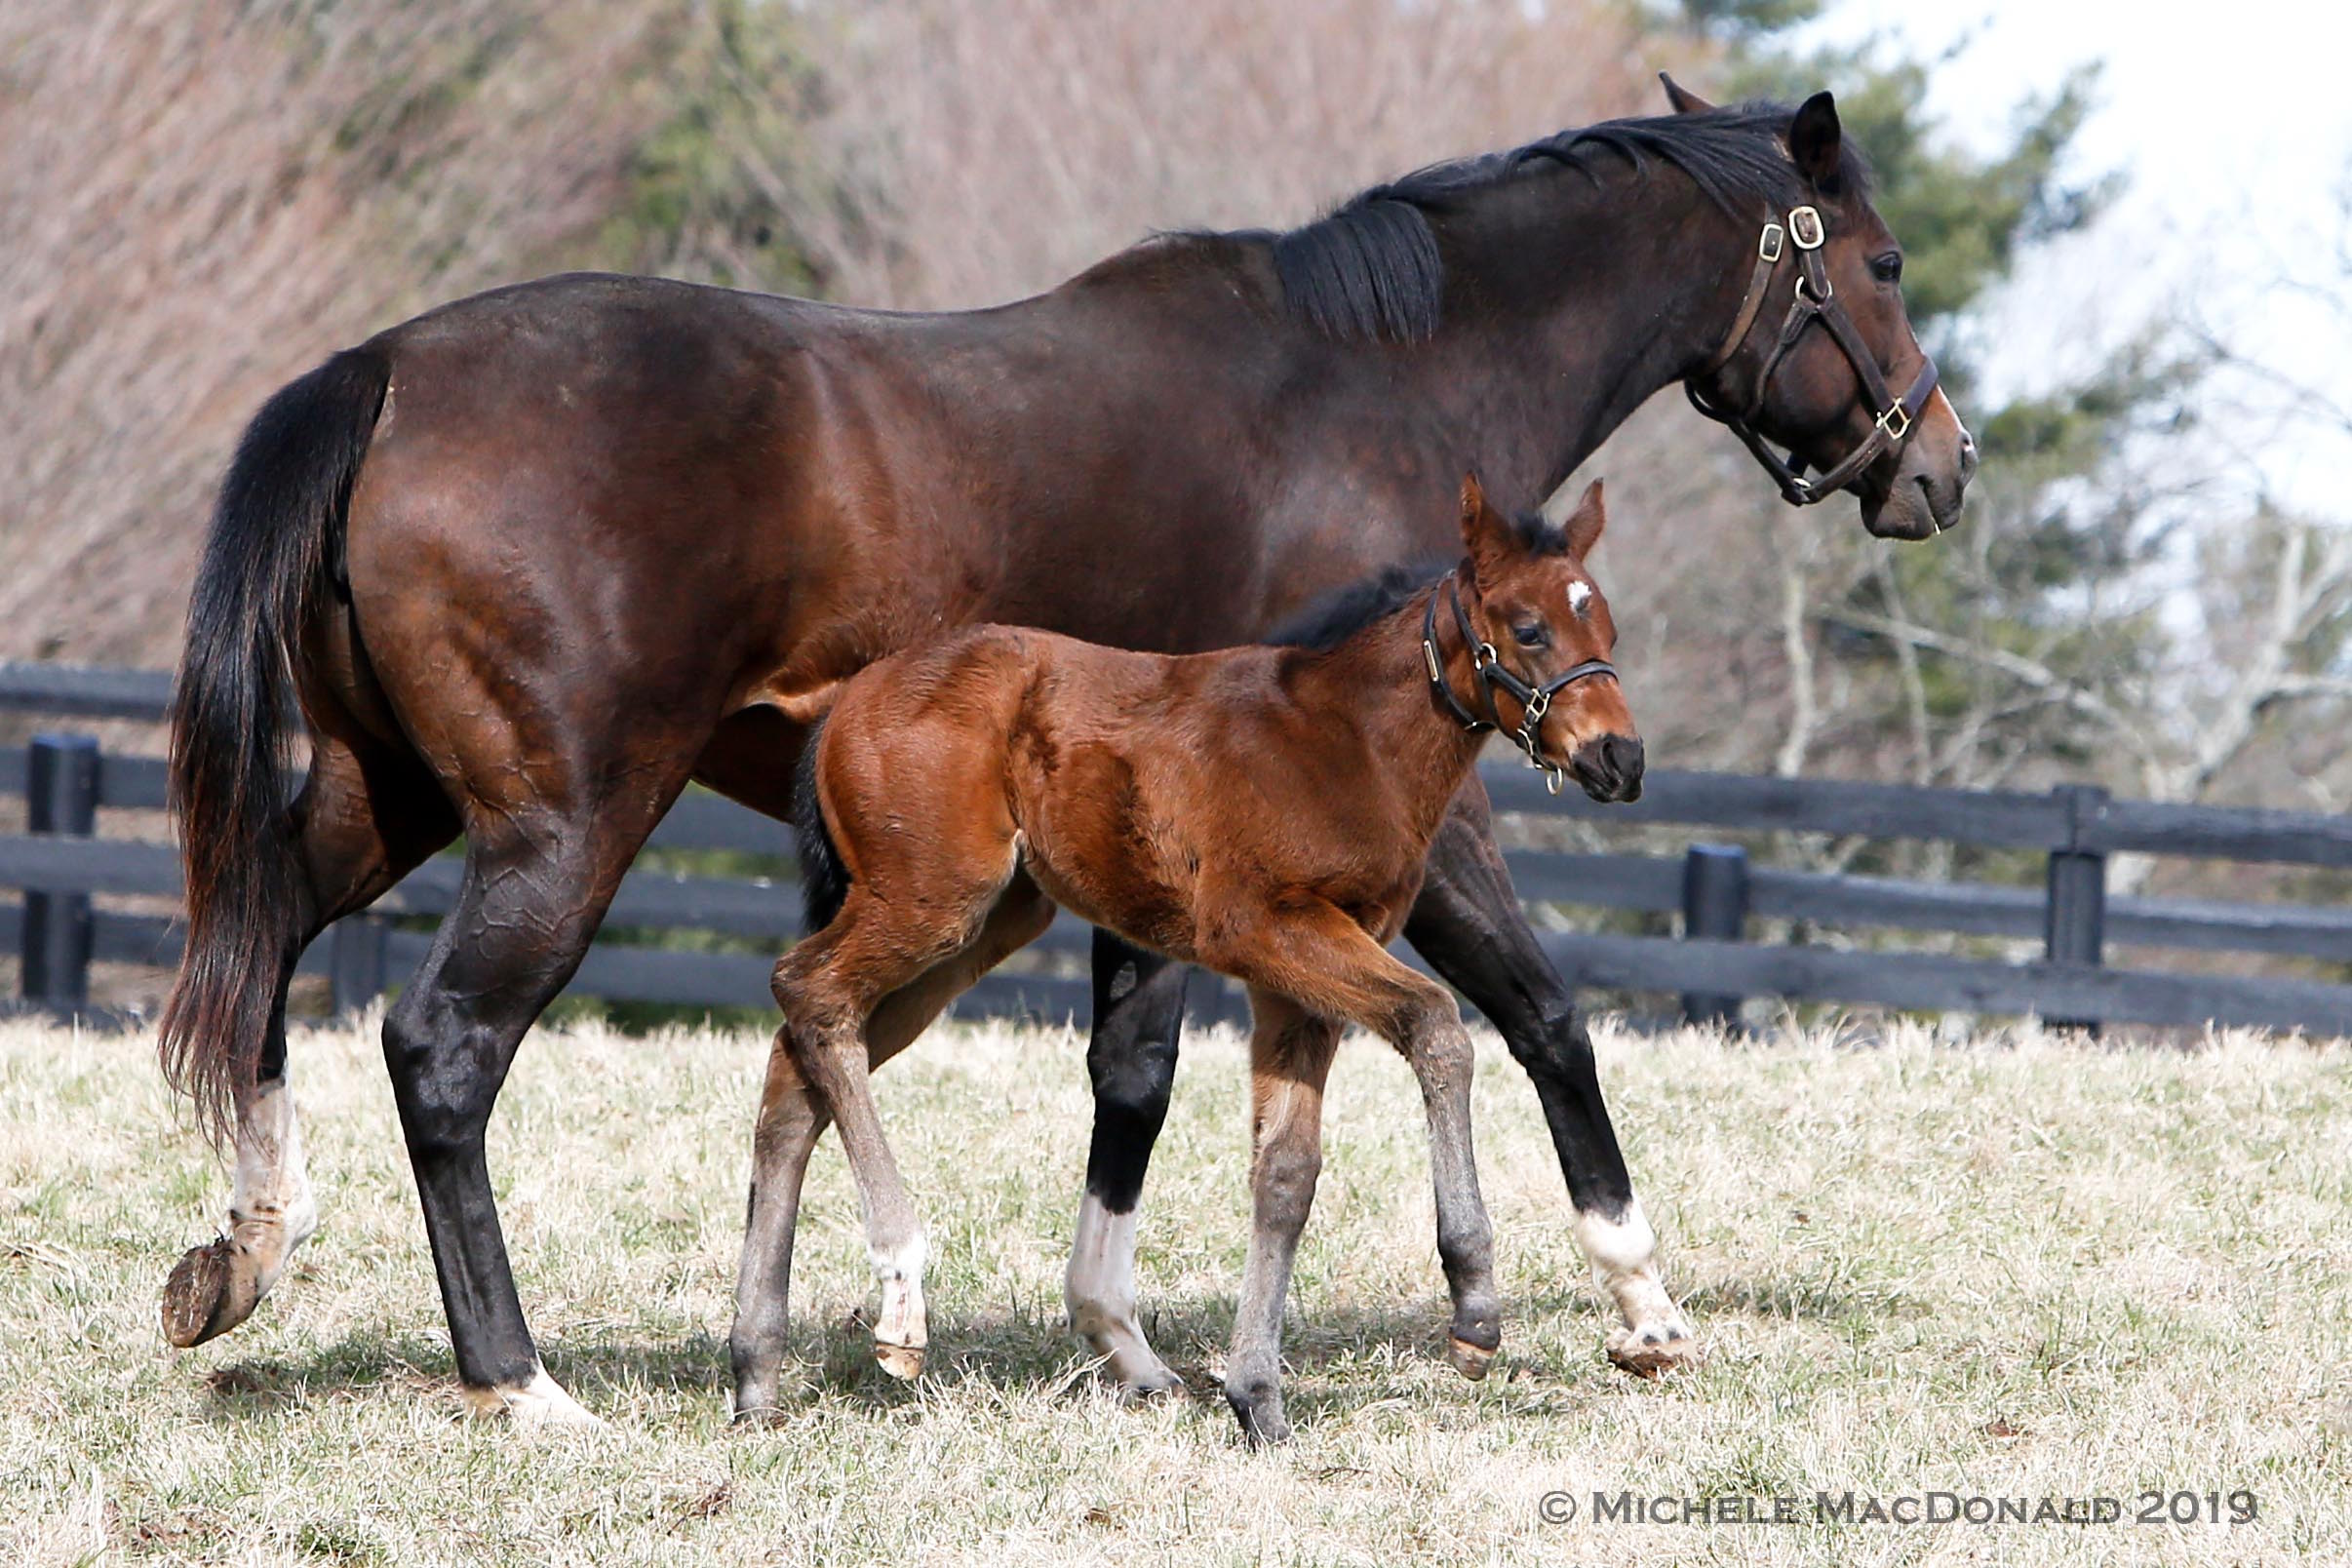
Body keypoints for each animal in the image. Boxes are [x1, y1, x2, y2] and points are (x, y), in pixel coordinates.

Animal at [743, 479, 1646, 1448]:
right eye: (1529, 628)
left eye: (1607, 628)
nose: (1620, 758)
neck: (1349, 740)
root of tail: (847, 701)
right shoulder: (1261, 929)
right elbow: (1437, 1027)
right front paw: (1474, 1304)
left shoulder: (1301, 984)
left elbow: (1286, 1174)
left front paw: (1257, 1398)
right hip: (930, 901)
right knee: (804, 988)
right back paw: (901, 1293)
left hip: (980, 925)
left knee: (798, 1064)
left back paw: (755, 1368)